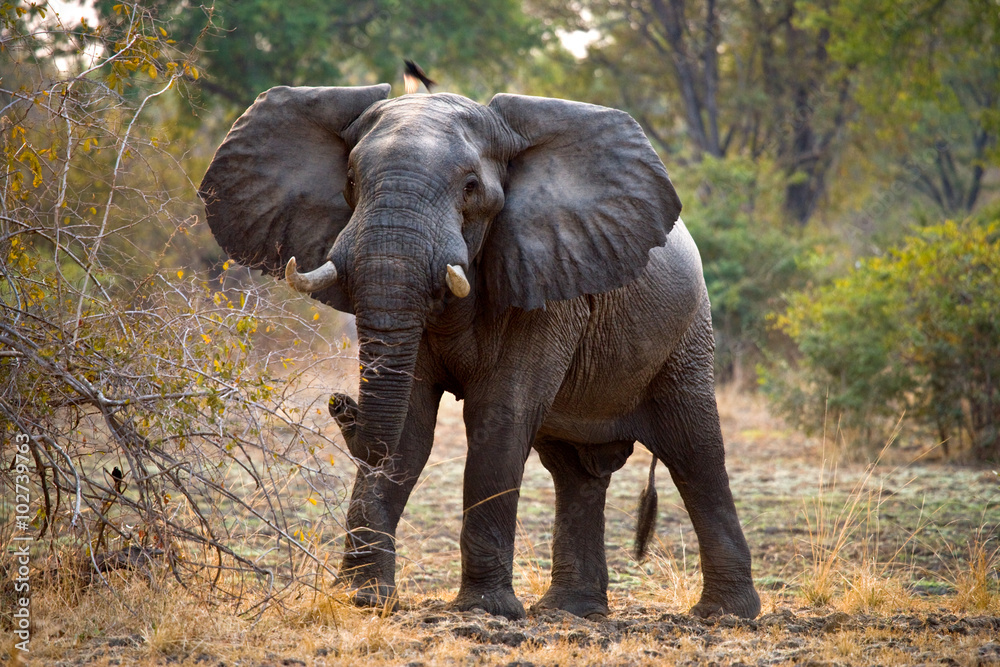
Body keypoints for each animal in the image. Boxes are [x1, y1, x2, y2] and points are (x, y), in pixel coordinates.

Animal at [199, 84, 760, 621]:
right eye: (351, 181)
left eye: (470, 188)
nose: (339, 403)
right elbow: (410, 426)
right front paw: (365, 600)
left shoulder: (547, 282)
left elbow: (499, 419)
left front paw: (485, 611)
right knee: (574, 472)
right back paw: (570, 612)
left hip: (687, 335)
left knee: (694, 452)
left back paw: (724, 615)